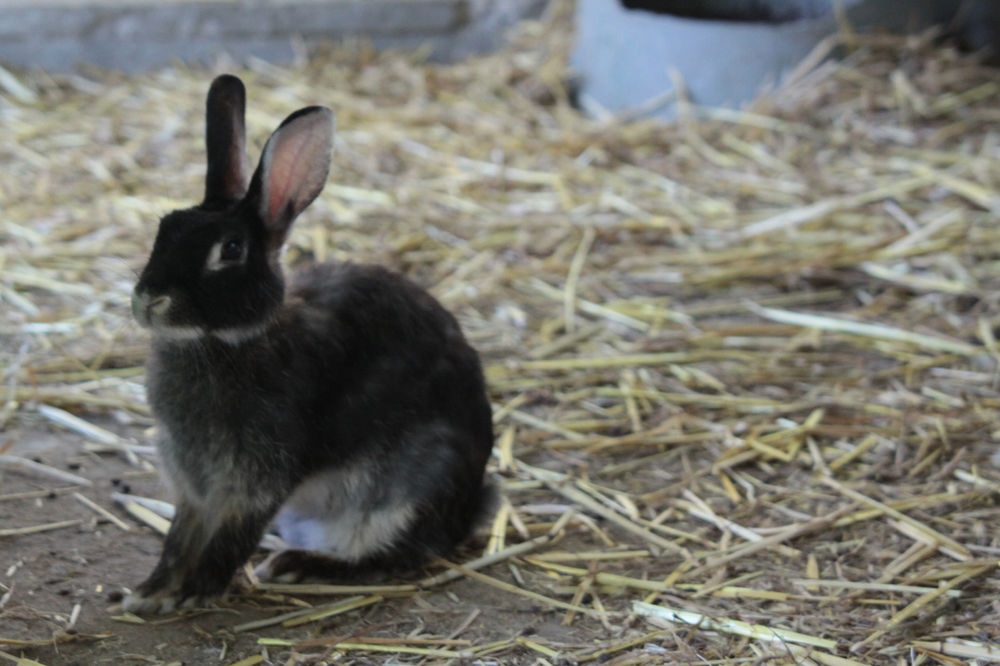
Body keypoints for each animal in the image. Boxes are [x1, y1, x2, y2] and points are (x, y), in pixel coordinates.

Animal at [124, 74, 495, 614]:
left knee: (391, 556)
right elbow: (180, 537)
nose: (150, 300)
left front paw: (193, 592)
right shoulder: (193, 485)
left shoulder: (256, 481)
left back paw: (299, 565)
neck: (229, 343)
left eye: (230, 250)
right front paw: (151, 592)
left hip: (410, 491)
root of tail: (470, 508)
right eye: (164, 228)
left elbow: (227, 539)